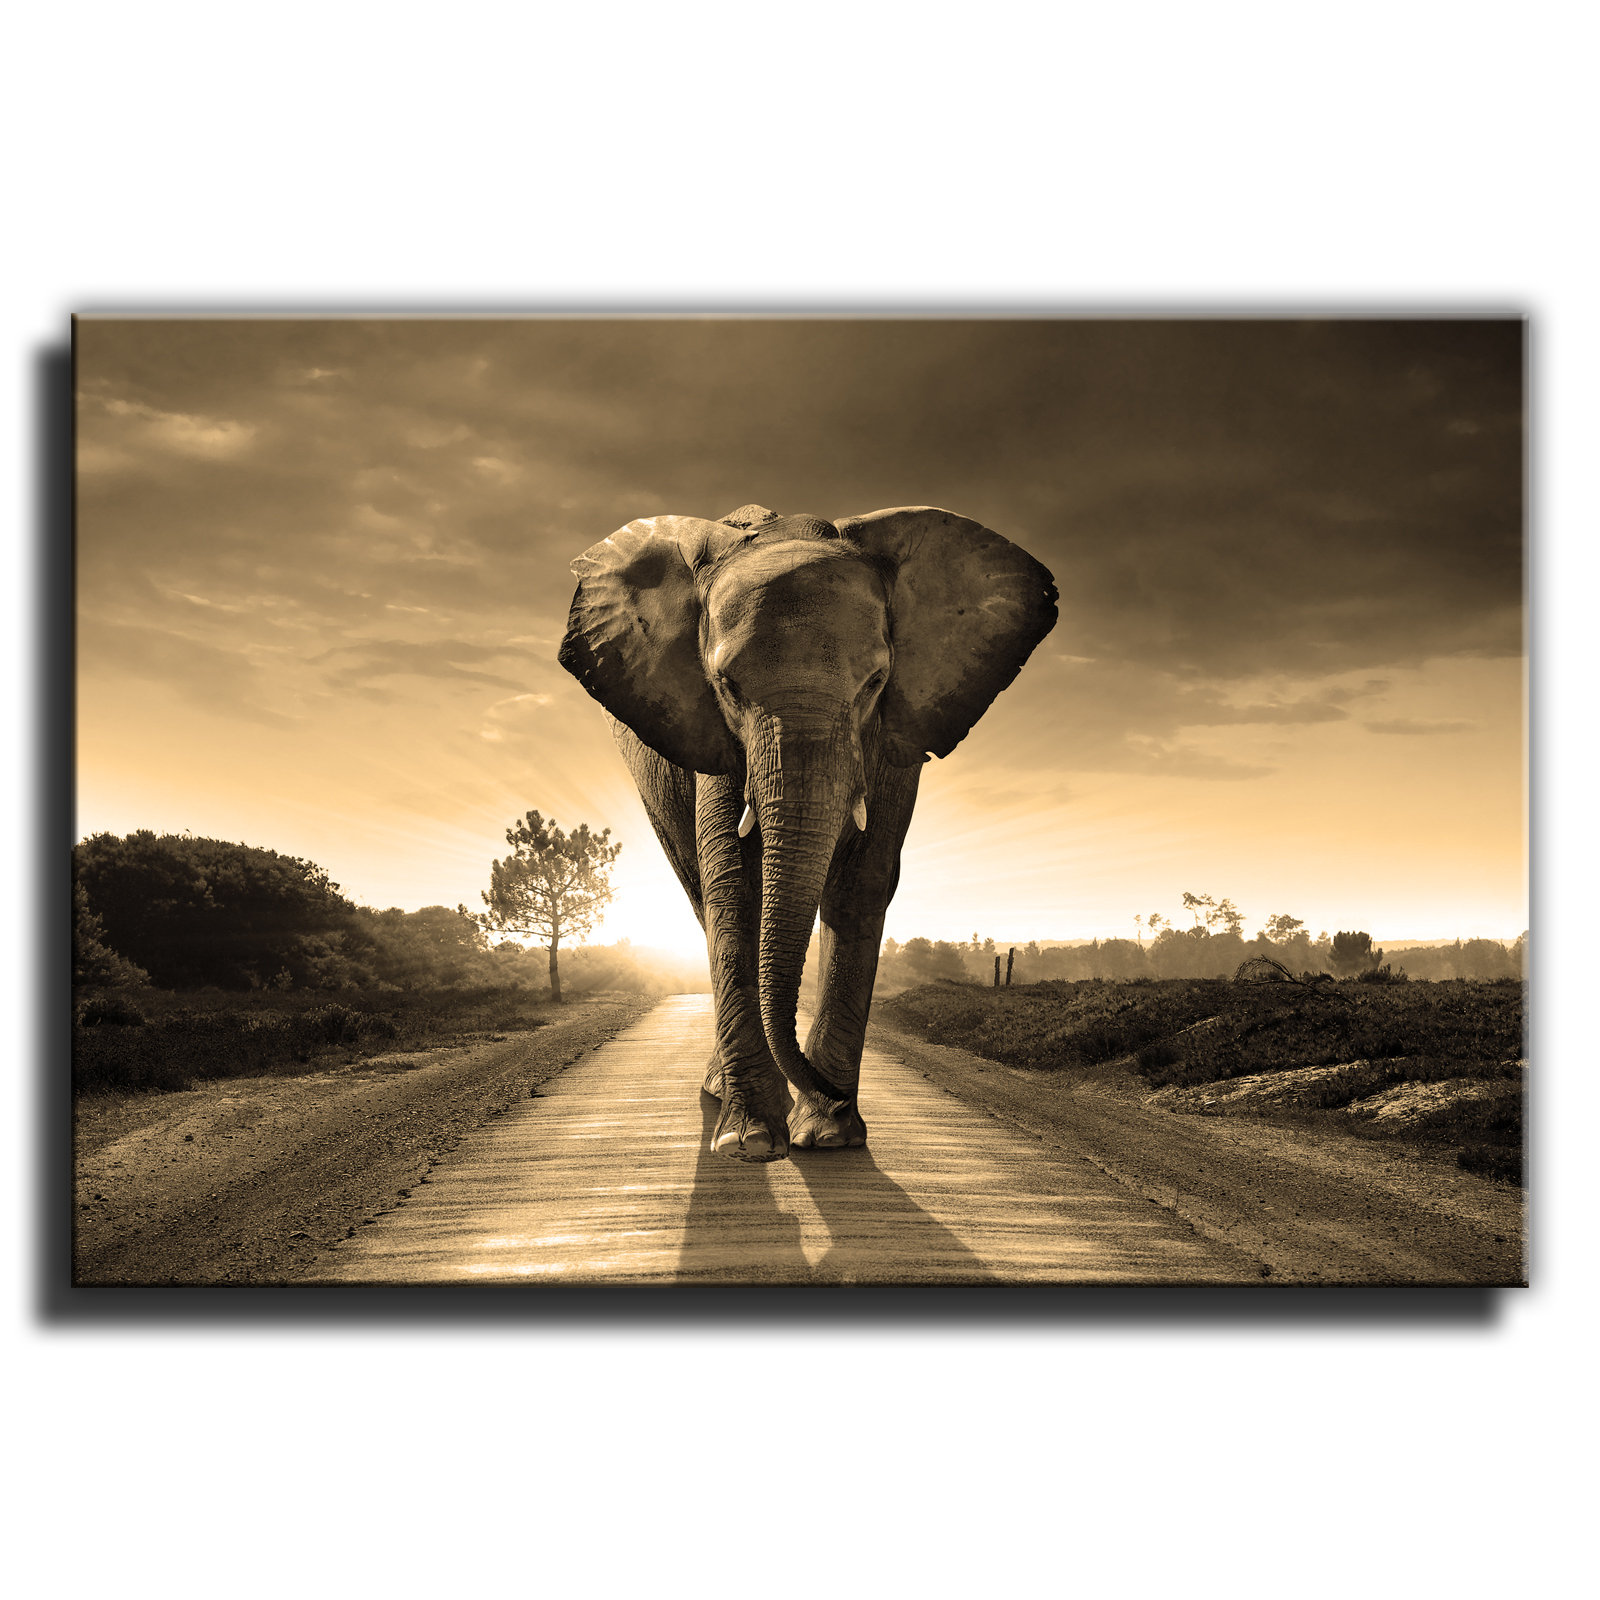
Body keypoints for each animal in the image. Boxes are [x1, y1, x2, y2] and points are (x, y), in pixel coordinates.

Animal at [558, 503, 1057, 1161]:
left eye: (875, 683)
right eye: (727, 686)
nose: (834, 1094)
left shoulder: (894, 737)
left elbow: (862, 883)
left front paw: (828, 1135)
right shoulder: (713, 738)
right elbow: (734, 885)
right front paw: (750, 1142)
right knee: (700, 894)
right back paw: (722, 1094)